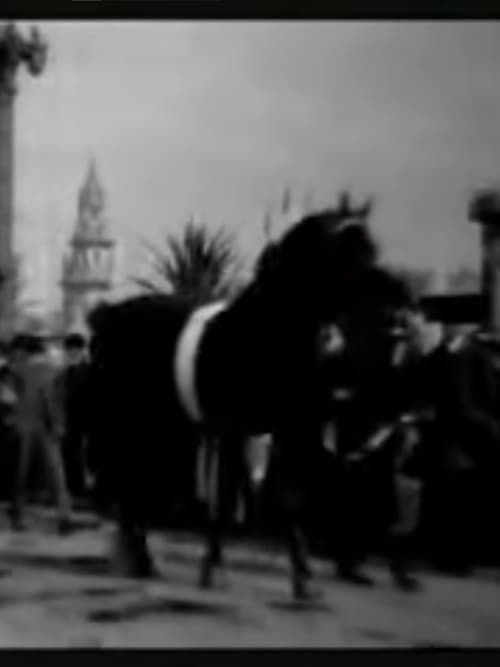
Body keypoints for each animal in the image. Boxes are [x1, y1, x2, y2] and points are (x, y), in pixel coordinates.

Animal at [88, 197, 416, 600]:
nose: (398, 304)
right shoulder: (231, 429)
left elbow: (291, 498)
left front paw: (303, 577)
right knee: (126, 480)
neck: (259, 334)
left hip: (163, 424)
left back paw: (141, 558)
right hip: (125, 418)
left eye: (372, 247)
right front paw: (213, 568)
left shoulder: (291, 431)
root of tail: (107, 314)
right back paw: (133, 557)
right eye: (350, 251)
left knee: (141, 482)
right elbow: (227, 496)